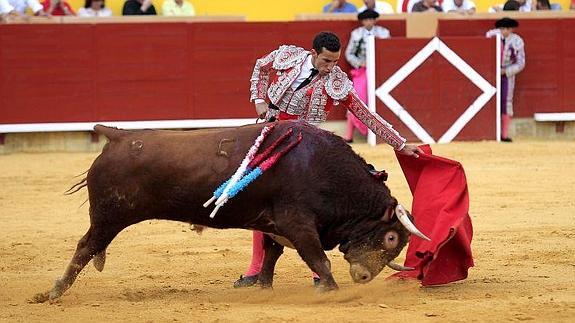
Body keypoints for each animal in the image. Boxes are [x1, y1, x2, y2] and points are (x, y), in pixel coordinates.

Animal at [32, 121, 428, 304]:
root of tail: (116, 135)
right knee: (84, 248)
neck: (323, 168)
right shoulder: (297, 223)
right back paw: (53, 293)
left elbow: (270, 255)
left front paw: (264, 289)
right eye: (390, 237)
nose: (363, 276)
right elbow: (319, 259)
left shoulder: (274, 225)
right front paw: (331, 291)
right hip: (108, 216)